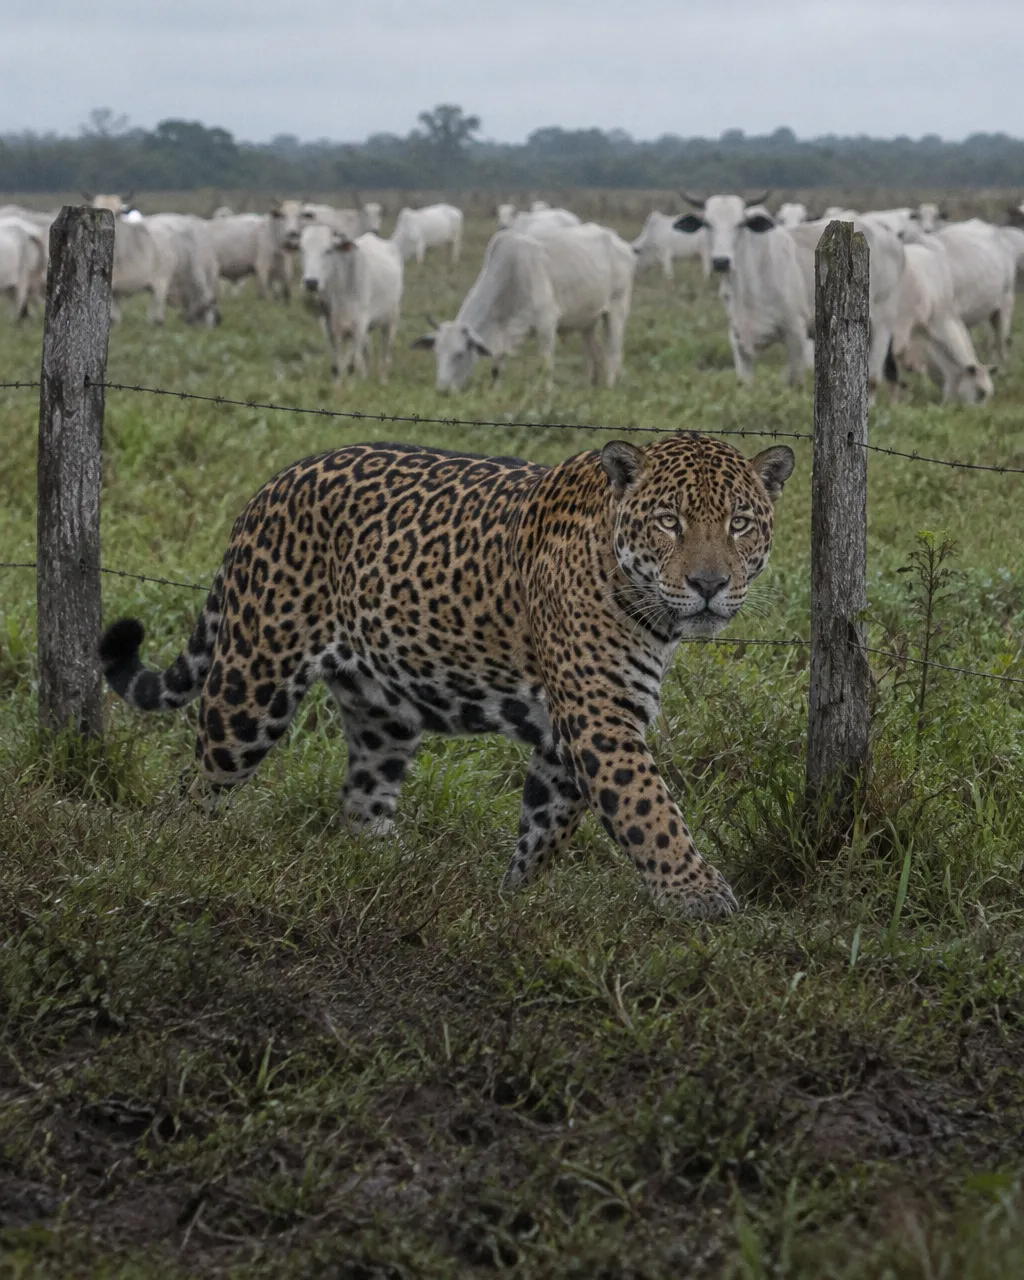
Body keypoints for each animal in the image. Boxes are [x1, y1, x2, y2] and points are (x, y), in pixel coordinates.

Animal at [99, 431, 794, 917]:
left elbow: (545, 827)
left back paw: (387, 868)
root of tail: (273, 485)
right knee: (196, 784)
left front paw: (514, 902)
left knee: (361, 802)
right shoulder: (601, 718)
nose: (710, 584)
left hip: (381, 709)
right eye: (669, 521)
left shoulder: (564, 735)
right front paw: (698, 897)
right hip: (251, 689)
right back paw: (177, 859)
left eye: (739, 522)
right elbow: (650, 810)